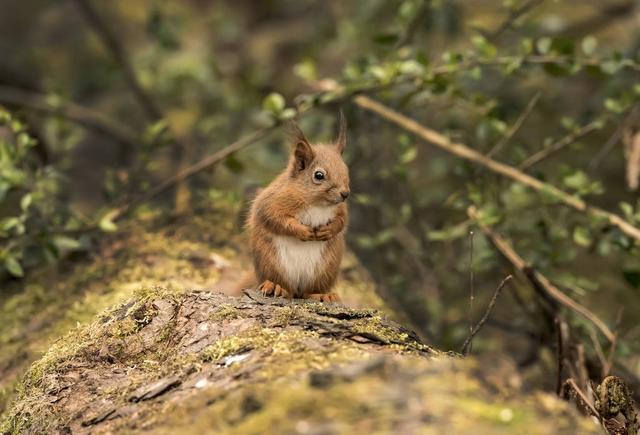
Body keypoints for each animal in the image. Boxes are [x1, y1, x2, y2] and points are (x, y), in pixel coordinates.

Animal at [244, 114, 350, 302]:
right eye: (319, 175)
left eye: (346, 169)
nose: (345, 194)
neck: (317, 203)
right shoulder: (272, 201)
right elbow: (272, 217)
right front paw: (302, 231)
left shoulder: (340, 209)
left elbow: (341, 221)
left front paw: (328, 230)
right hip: (271, 262)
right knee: (285, 287)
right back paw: (276, 287)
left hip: (325, 269)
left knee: (308, 292)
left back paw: (321, 294)